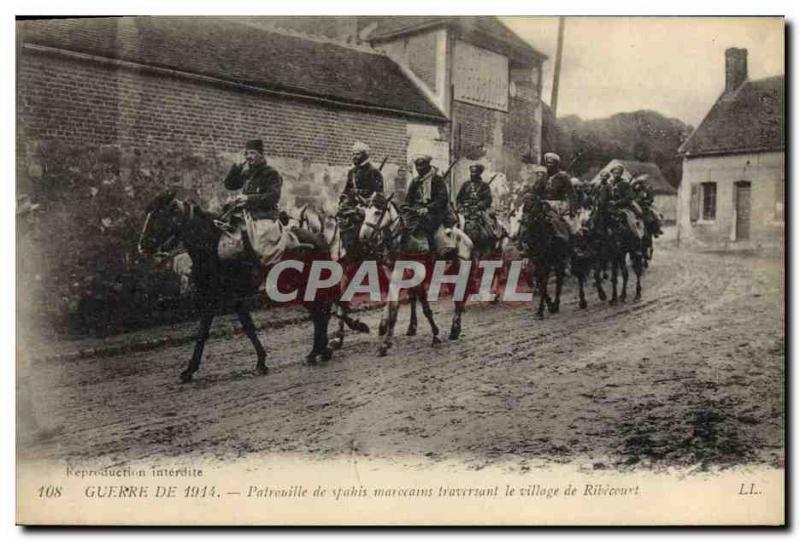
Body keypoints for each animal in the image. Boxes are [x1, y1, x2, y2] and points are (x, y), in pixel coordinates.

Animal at [139, 192, 332, 382]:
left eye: (158, 215)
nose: (142, 246)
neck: (212, 248)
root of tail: (318, 238)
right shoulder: (231, 299)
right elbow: (247, 326)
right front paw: (261, 361)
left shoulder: (216, 300)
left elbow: (203, 332)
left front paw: (189, 370)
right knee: (318, 314)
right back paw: (320, 351)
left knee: (320, 314)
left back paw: (317, 352)